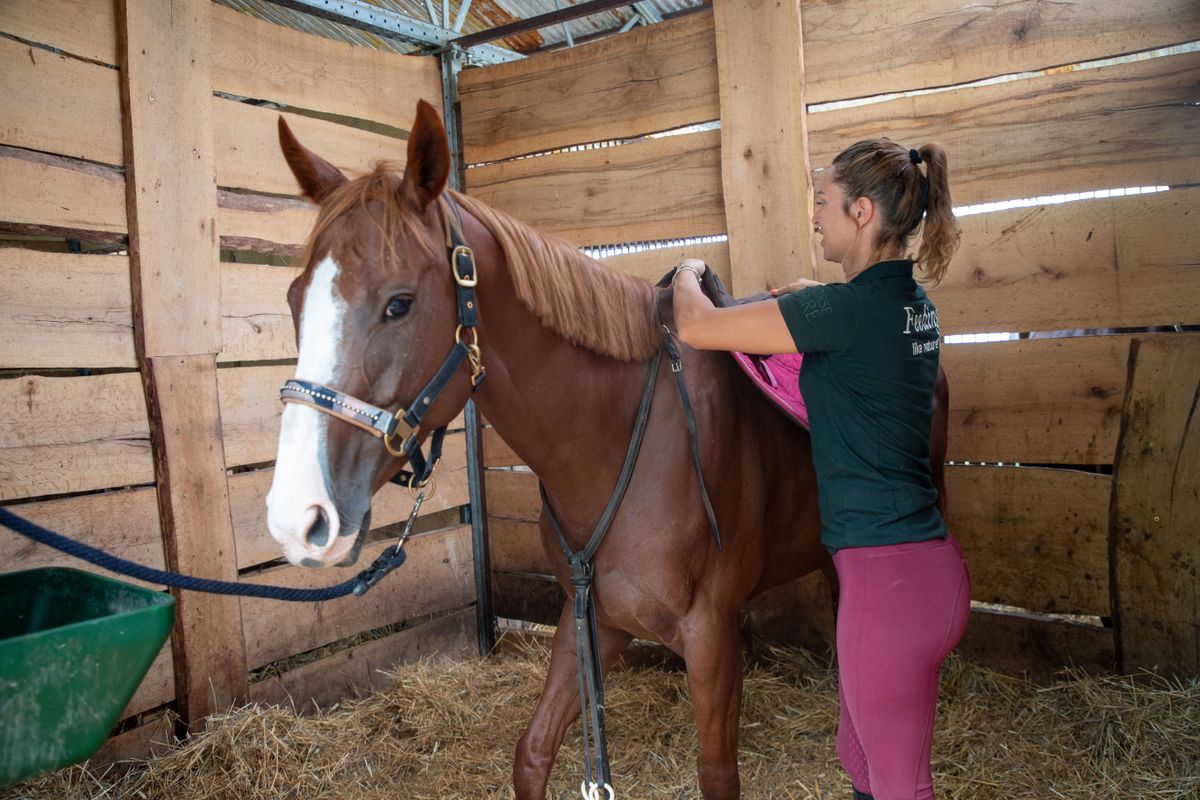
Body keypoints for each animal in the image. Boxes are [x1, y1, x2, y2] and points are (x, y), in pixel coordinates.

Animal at [270, 100, 945, 800]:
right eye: (294, 299)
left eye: (399, 304)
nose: (298, 515)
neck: (615, 443)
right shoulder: (591, 615)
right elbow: (533, 751)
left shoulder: (711, 636)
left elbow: (717, 774)